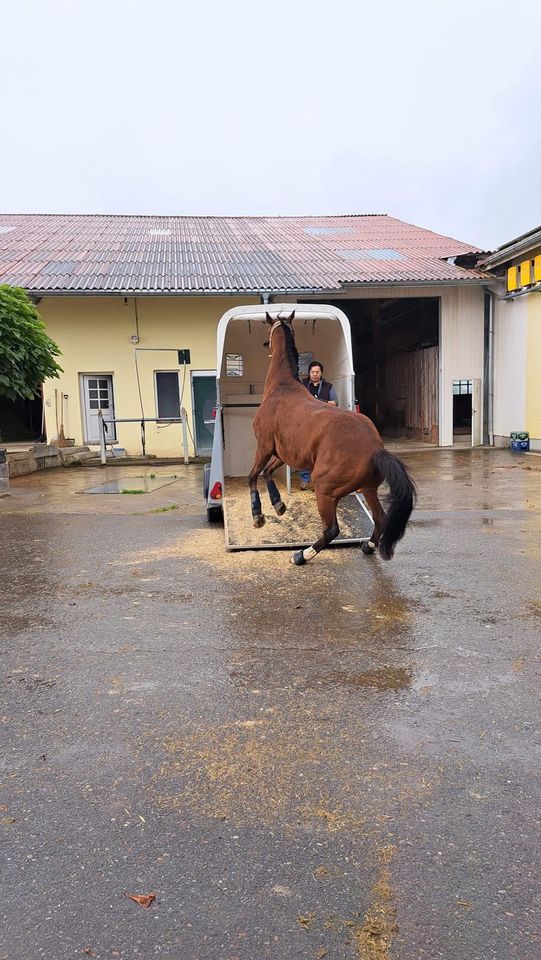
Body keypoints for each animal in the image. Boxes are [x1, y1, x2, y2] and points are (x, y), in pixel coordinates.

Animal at [247, 310, 416, 564]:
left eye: (268, 328)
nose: (266, 343)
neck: (282, 387)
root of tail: (375, 448)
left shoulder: (265, 446)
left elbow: (253, 476)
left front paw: (258, 516)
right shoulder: (282, 454)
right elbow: (267, 473)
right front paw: (279, 505)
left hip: (325, 489)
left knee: (331, 529)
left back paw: (301, 555)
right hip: (368, 488)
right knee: (380, 518)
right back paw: (367, 546)